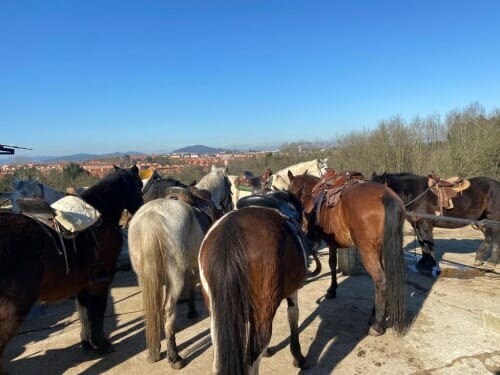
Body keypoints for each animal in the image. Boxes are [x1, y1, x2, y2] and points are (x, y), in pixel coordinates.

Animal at [0, 165, 144, 374]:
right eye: (138, 184)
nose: (141, 207)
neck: (100, 215)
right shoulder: (102, 281)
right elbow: (97, 312)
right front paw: (101, 344)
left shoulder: (83, 284)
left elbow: (84, 314)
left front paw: (88, 344)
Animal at [127, 167, 232, 370]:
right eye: (230, 185)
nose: (230, 206)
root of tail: (151, 218)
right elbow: (192, 283)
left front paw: (191, 310)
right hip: (174, 278)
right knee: (168, 310)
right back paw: (174, 356)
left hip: (144, 276)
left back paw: (155, 350)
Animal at [199, 192, 308, 374]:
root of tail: (231, 231)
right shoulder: (293, 290)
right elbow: (293, 315)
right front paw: (298, 357)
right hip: (264, 309)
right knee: (253, 357)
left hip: (216, 311)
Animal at [288, 172, 408, 336]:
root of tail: (385, 196)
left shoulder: (331, 242)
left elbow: (332, 263)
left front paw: (332, 291)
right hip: (381, 249)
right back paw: (375, 315)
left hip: (367, 251)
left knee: (380, 280)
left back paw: (377, 325)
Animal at [372, 173, 500, 274]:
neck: (415, 193)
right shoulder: (417, 226)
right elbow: (423, 244)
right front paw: (422, 264)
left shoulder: (425, 226)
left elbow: (428, 244)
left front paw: (431, 265)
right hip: (483, 220)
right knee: (488, 238)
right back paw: (479, 260)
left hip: (493, 219)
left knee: (495, 239)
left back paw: (491, 263)